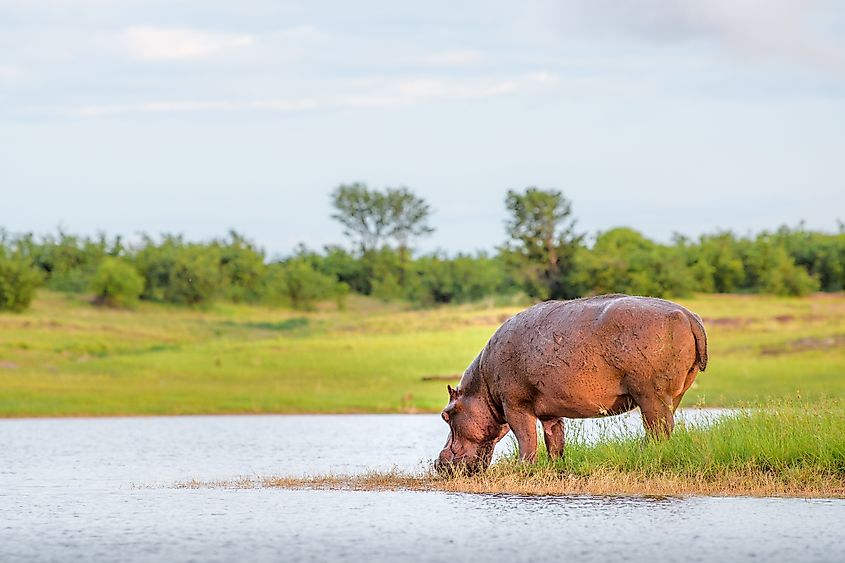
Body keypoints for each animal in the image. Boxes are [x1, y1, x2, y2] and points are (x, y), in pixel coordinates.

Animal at [436, 298, 704, 474]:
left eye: (445, 415)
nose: (438, 463)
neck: (481, 389)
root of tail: (690, 316)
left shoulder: (514, 405)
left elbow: (526, 438)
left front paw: (523, 468)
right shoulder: (550, 413)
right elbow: (554, 440)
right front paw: (556, 467)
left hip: (650, 394)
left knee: (658, 429)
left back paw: (642, 457)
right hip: (673, 395)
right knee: (664, 427)